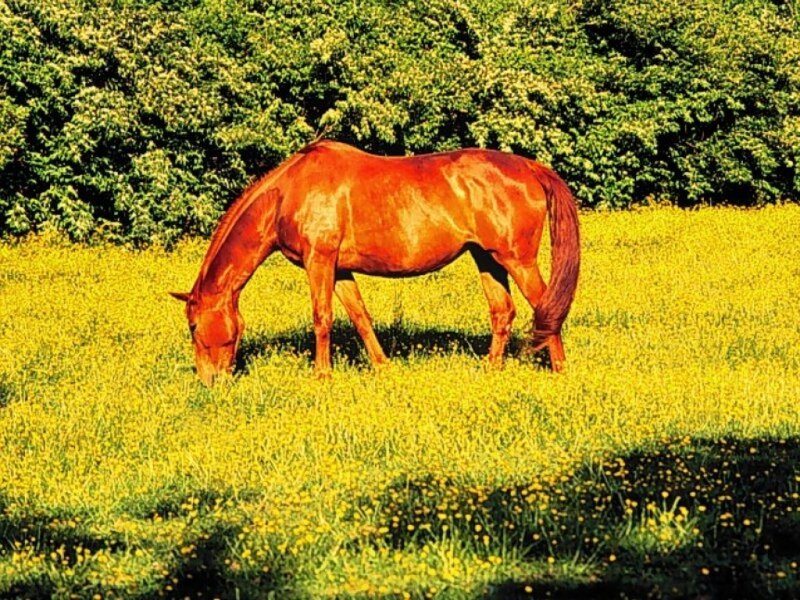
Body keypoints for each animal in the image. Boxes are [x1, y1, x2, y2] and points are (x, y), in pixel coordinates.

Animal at [171, 140, 580, 386]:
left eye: (192, 326)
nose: (209, 382)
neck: (287, 193)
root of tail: (530, 167)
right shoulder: (340, 269)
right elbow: (360, 317)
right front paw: (383, 367)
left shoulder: (319, 261)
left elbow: (322, 318)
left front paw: (322, 376)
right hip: (487, 258)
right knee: (503, 311)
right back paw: (490, 369)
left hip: (517, 259)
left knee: (545, 307)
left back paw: (561, 370)